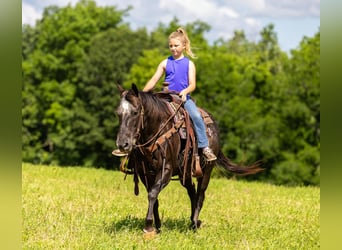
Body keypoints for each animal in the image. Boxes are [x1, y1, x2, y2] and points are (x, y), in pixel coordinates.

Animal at [115, 84, 262, 236]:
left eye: (135, 112)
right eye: (118, 113)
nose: (122, 144)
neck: (158, 128)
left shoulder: (166, 169)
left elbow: (153, 194)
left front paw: (149, 227)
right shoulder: (144, 173)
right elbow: (154, 197)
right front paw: (157, 227)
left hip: (206, 171)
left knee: (200, 195)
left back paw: (195, 223)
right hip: (185, 173)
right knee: (192, 192)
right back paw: (193, 222)